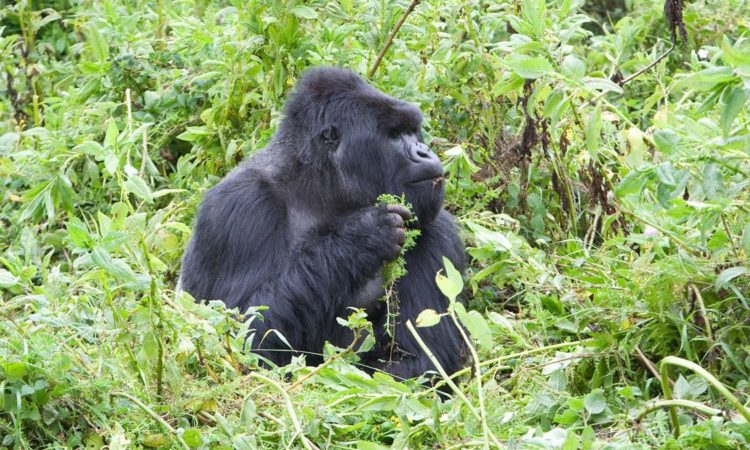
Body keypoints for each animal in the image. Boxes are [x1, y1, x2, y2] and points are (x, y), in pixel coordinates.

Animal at [180, 67, 468, 380]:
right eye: (394, 135)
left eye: (412, 130)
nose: (424, 151)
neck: (319, 188)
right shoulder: (238, 207)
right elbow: (241, 338)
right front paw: (360, 239)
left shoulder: (435, 228)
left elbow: (420, 360)